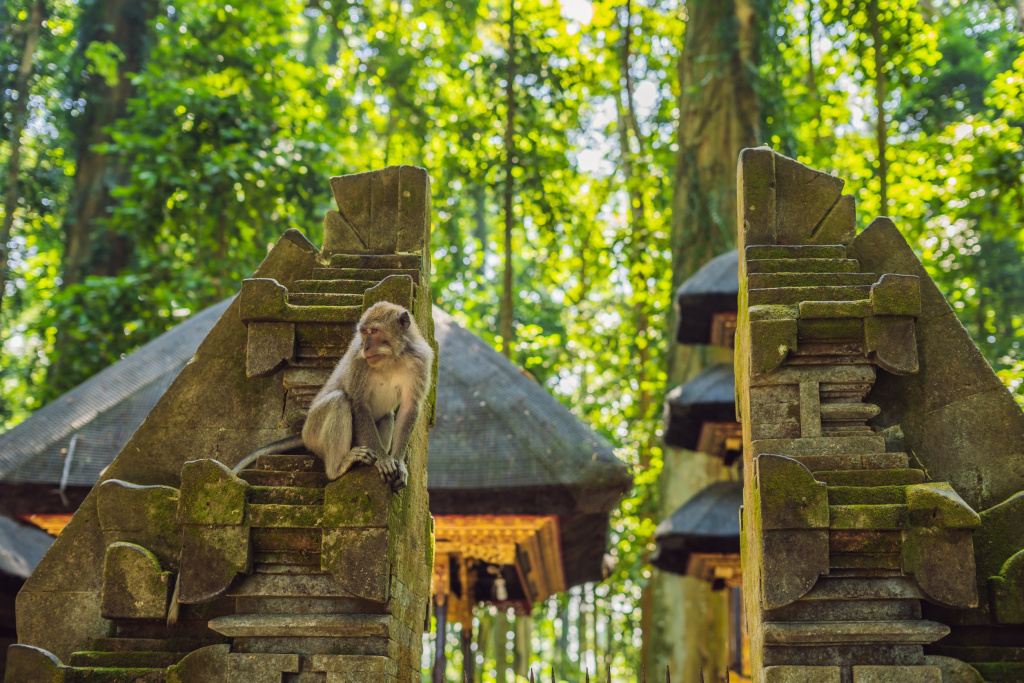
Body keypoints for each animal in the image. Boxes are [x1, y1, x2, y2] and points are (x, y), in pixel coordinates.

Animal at [232, 303, 432, 491]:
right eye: (364, 332)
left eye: (374, 331)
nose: (366, 347)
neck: (392, 358)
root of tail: (303, 432)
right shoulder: (358, 359)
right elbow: (359, 404)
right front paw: (383, 459)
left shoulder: (421, 361)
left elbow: (409, 408)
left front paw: (398, 462)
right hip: (313, 430)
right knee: (339, 401)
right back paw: (338, 468)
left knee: (386, 417)